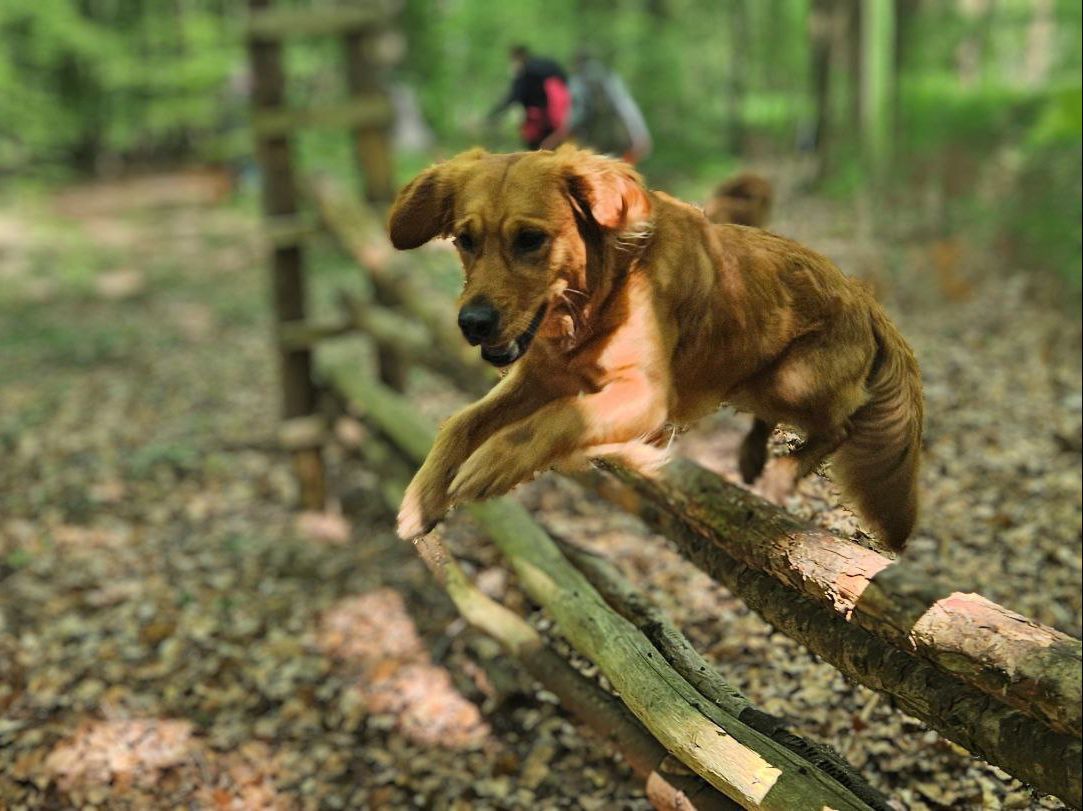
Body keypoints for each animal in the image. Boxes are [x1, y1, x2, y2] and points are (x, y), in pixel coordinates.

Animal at [389, 145, 922, 550]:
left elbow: (555, 419)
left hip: (790, 381)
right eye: (465, 239)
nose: (473, 323)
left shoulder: (645, 394)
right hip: (755, 381)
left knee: (840, 425)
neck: (603, 293)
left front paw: (491, 464)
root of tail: (863, 297)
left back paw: (783, 472)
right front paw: (421, 497)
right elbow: (461, 422)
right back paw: (752, 454)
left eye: (530, 239)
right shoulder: (539, 377)